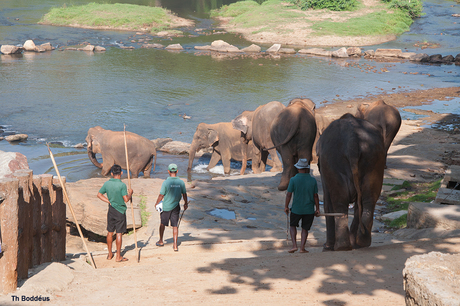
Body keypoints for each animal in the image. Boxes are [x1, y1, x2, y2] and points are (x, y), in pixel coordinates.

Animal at [316, 113, 384, 252]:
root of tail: (353, 142)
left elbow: (327, 202)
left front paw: (327, 247)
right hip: (374, 160)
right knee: (368, 198)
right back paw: (361, 242)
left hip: (333, 162)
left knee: (339, 200)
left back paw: (342, 247)